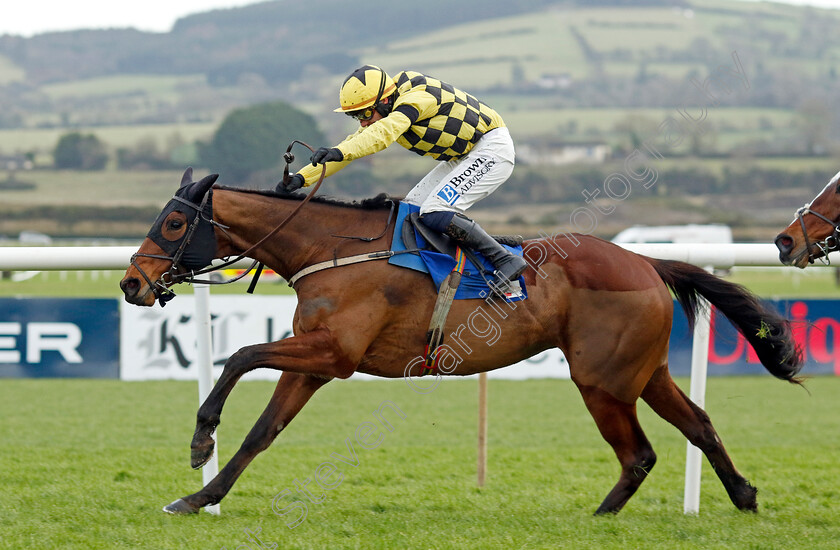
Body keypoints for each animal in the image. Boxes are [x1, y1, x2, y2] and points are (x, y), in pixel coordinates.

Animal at [118, 168, 800, 516]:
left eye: (173, 223)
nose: (131, 282)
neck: (330, 249)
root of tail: (646, 261)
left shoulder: (335, 355)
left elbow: (239, 355)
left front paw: (201, 436)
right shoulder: (313, 360)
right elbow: (263, 431)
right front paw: (199, 495)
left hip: (602, 380)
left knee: (639, 453)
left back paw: (603, 514)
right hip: (643, 372)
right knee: (699, 424)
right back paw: (744, 496)